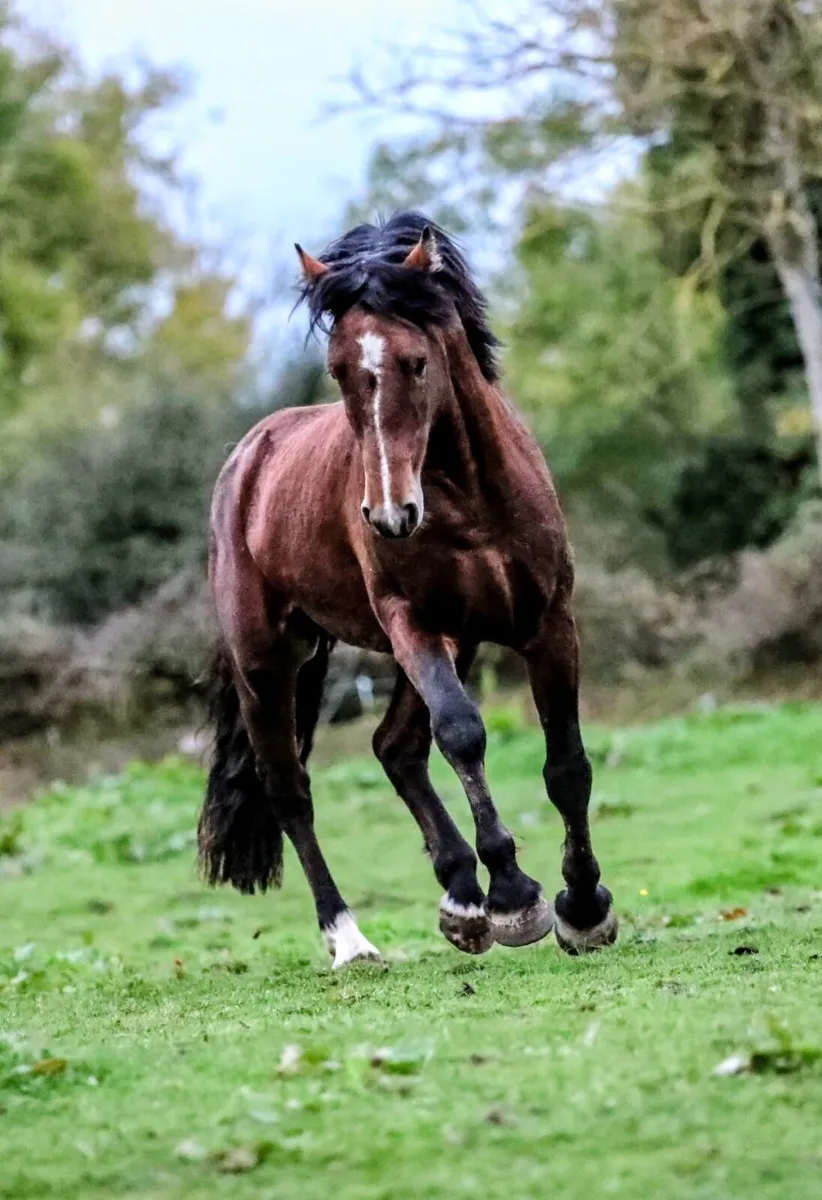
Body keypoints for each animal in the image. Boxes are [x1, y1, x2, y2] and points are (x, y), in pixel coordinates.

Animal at [197, 211, 617, 967]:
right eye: (338, 369)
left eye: (416, 363)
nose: (391, 515)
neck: (473, 501)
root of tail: (248, 456)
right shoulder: (410, 623)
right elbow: (463, 735)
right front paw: (516, 897)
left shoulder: (547, 622)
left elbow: (566, 765)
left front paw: (584, 908)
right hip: (267, 661)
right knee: (290, 790)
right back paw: (350, 938)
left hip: (453, 641)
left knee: (394, 747)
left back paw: (461, 899)